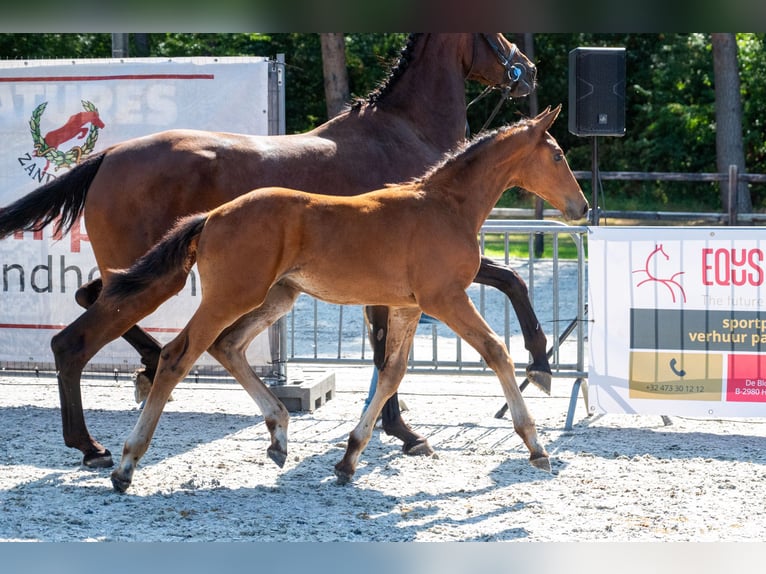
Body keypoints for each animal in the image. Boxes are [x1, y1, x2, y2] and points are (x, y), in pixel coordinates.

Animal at [0, 33, 546, 469]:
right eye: (495, 31)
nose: (529, 69)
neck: (403, 132)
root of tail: (108, 155)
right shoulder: (425, 272)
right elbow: (510, 281)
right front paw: (537, 364)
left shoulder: (394, 280)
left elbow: (387, 350)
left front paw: (391, 430)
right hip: (158, 275)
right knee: (75, 339)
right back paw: (96, 439)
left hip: (143, 270)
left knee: (89, 300)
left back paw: (141, 376)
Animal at [105, 105, 588, 492]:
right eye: (558, 155)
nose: (582, 207)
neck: (445, 206)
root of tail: (211, 217)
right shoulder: (445, 299)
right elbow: (496, 351)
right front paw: (535, 443)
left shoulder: (409, 307)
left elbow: (391, 374)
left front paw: (350, 457)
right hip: (230, 297)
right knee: (177, 356)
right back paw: (126, 464)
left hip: (276, 297)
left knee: (228, 346)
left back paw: (279, 434)